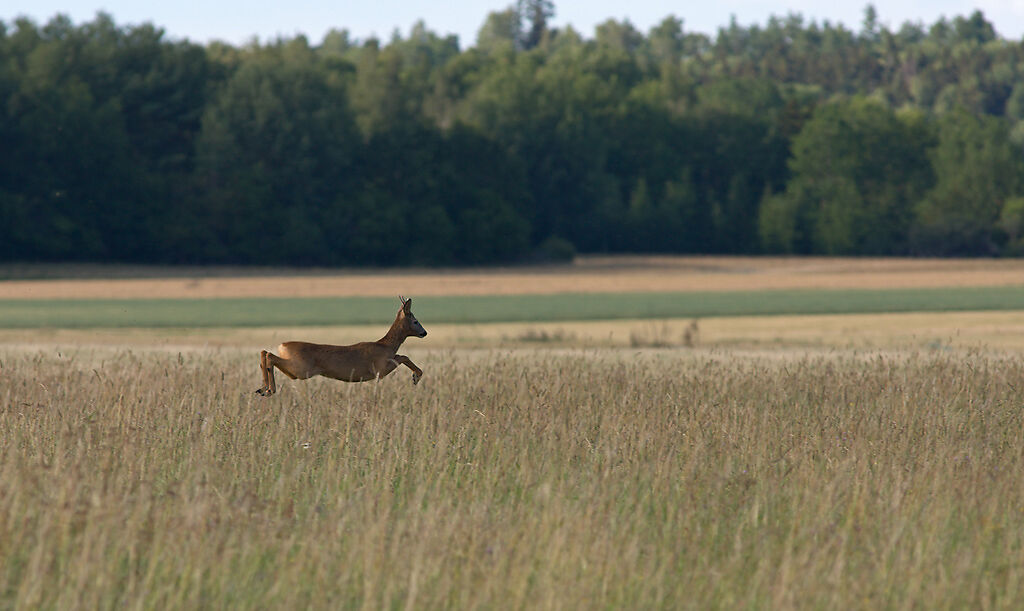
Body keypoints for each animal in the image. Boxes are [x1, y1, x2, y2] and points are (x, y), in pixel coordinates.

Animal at [255, 296, 427, 397]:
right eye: (415, 321)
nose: (424, 332)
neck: (387, 346)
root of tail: (282, 345)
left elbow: (402, 356)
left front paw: (416, 376)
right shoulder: (380, 369)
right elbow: (404, 356)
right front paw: (416, 376)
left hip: (295, 370)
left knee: (265, 352)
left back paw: (263, 389)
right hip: (301, 369)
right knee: (269, 355)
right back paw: (269, 390)